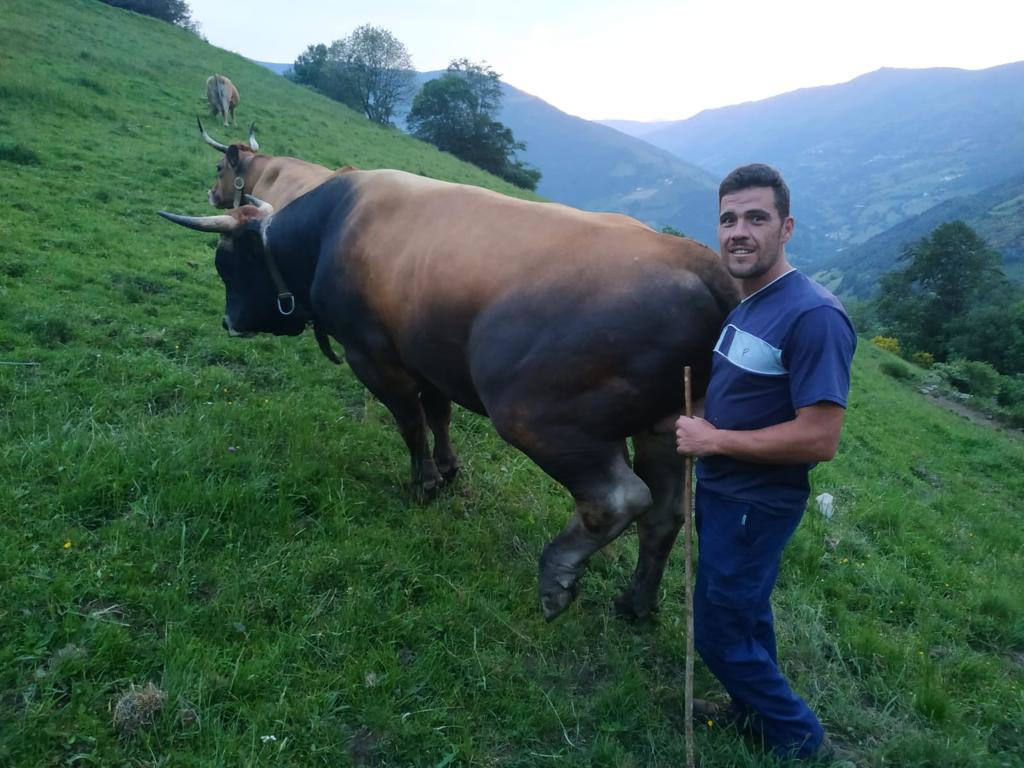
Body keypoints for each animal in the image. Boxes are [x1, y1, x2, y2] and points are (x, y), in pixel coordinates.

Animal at [159, 171, 741, 622]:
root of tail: (700, 263)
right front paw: (449, 467)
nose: (228, 321)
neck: (330, 230)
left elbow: (411, 423)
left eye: (227, 264)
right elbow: (439, 415)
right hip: (666, 426)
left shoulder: (374, 357)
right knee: (663, 516)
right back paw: (634, 603)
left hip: (536, 414)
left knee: (619, 498)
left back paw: (557, 576)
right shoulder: (428, 359)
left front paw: (424, 483)